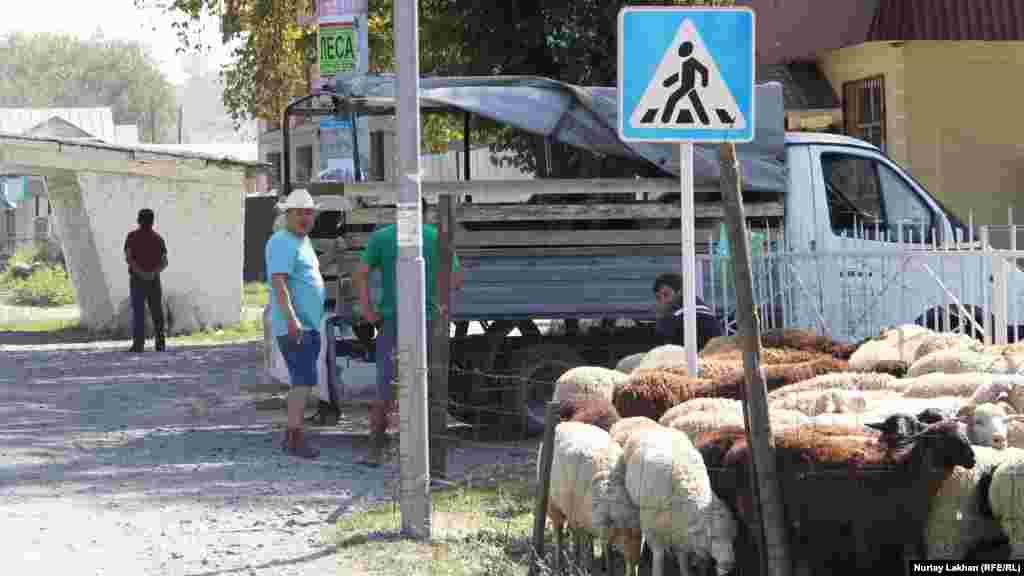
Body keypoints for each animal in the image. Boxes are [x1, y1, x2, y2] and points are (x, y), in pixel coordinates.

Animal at [614, 422, 737, 573]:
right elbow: (659, 554)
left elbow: (682, 554)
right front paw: (657, 570)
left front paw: (685, 571)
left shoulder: (680, 528)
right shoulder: (651, 526)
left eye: (732, 537)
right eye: (713, 537)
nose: (729, 564)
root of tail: (650, 426)